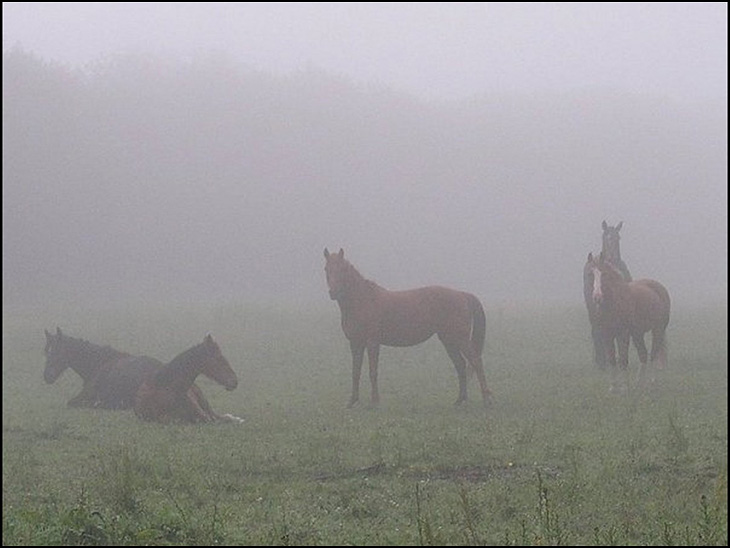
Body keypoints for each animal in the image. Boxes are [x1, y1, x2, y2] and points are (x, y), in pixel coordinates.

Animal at [320, 248, 486, 406]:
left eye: (342, 269)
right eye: (326, 269)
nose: (333, 292)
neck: (362, 300)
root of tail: (462, 295)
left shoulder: (372, 342)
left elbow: (373, 371)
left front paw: (374, 402)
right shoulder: (355, 343)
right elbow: (355, 372)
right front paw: (352, 401)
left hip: (460, 339)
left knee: (476, 361)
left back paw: (487, 400)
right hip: (448, 341)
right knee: (461, 365)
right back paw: (459, 400)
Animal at [584, 250, 668, 392]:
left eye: (604, 274)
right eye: (590, 274)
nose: (597, 297)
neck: (614, 303)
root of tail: (659, 288)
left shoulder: (622, 334)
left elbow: (623, 359)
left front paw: (625, 387)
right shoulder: (607, 335)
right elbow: (612, 359)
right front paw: (613, 387)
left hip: (658, 330)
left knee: (654, 353)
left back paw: (652, 381)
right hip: (638, 334)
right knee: (643, 354)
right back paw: (639, 383)